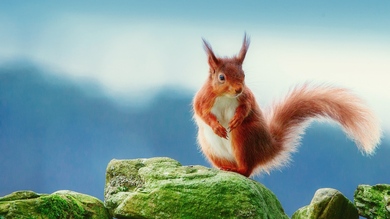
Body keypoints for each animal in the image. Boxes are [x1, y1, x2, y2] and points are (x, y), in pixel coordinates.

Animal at [193, 34, 382, 178]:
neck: (225, 96)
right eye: (221, 77)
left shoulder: (247, 98)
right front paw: (216, 126)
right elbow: (201, 113)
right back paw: (225, 168)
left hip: (244, 136)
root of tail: (267, 148)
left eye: (243, 74)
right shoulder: (203, 99)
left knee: (247, 170)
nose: (238, 89)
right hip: (210, 147)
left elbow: (246, 109)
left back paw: (237, 169)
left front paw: (236, 118)